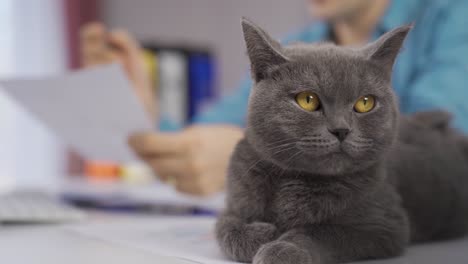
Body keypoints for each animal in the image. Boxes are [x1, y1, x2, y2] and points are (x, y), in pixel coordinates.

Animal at [215, 17, 468, 262]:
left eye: (365, 102)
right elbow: (224, 226)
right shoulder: (234, 201)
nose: (341, 130)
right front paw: (261, 234)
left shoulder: (384, 225)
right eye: (307, 100)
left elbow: (321, 232)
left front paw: (282, 249)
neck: (295, 180)